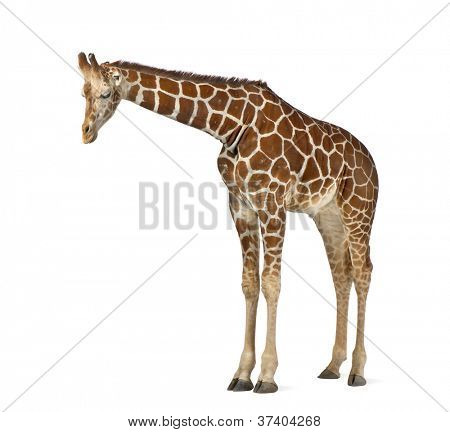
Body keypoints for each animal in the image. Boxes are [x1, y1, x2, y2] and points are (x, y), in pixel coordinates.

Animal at [79, 53, 378, 392]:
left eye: (105, 93)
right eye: (83, 93)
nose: (85, 132)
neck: (229, 125)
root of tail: (372, 162)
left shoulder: (272, 203)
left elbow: (272, 283)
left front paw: (267, 375)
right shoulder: (241, 206)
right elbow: (250, 283)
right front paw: (242, 373)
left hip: (358, 211)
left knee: (363, 272)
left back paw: (357, 370)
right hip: (328, 218)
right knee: (341, 275)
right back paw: (333, 365)